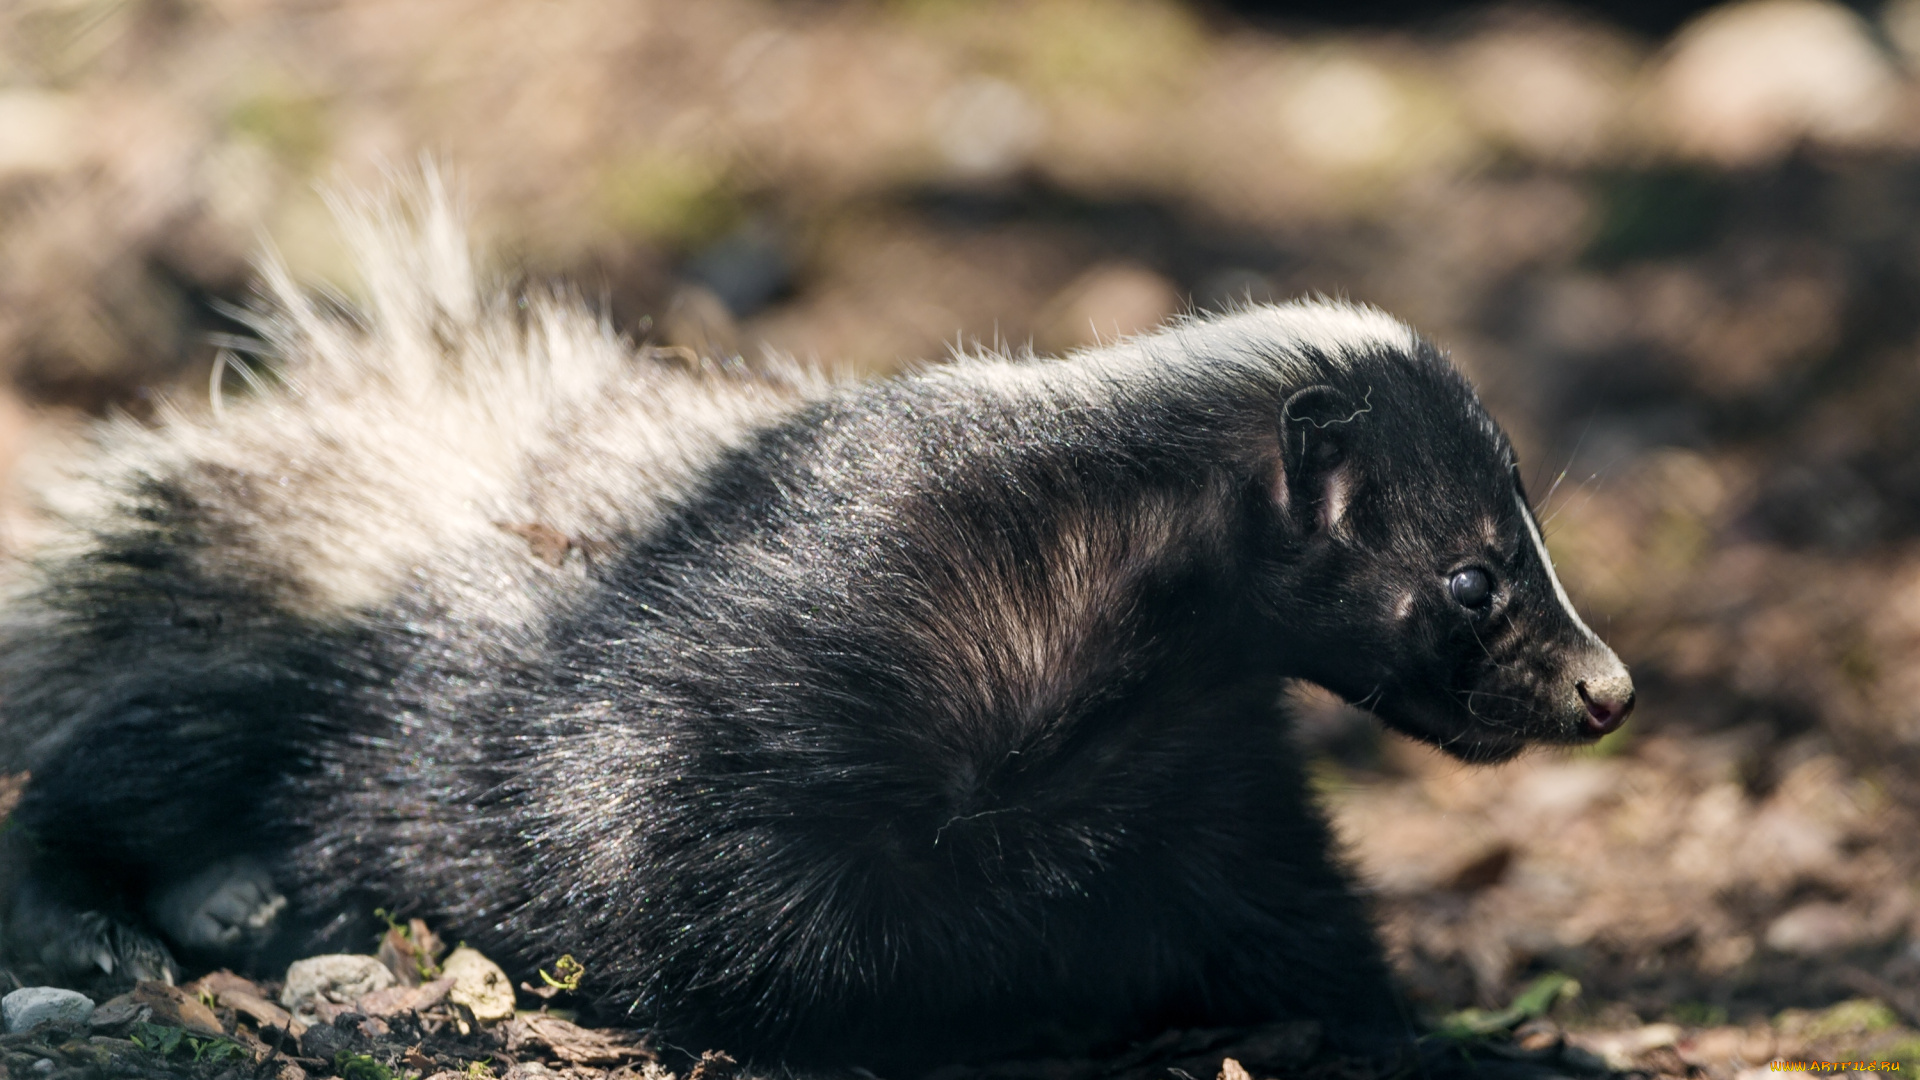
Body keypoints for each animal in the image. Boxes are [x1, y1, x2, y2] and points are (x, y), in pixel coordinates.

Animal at [0, 176, 1635, 1068]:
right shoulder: (793, 641)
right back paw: (159, 919)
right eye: (1476, 578)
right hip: (286, 615)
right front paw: (1016, 989)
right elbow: (688, 870)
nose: (1605, 689)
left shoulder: (1202, 759)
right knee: (124, 756)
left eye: (1528, 546)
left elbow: (1287, 906)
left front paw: (1432, 1037)